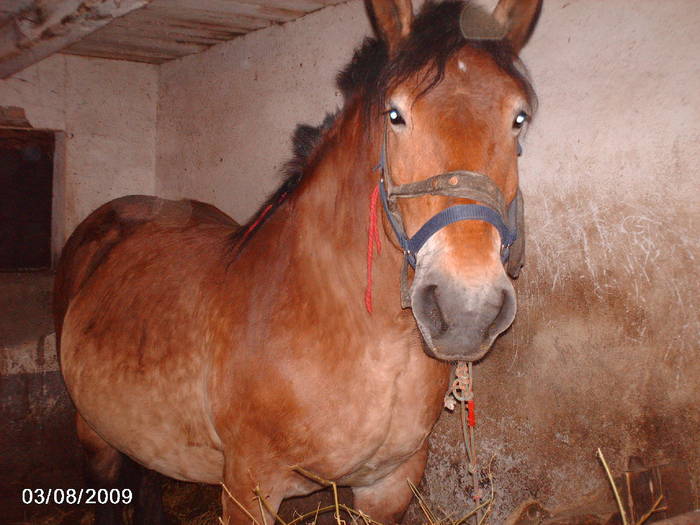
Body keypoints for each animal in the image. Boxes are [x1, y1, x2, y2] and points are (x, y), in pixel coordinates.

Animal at [56, 2, 540, 520]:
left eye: (519, 118)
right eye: (395, 115)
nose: (466, 307)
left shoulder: (390, 484)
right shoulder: (248, 486)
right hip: (93, 430)